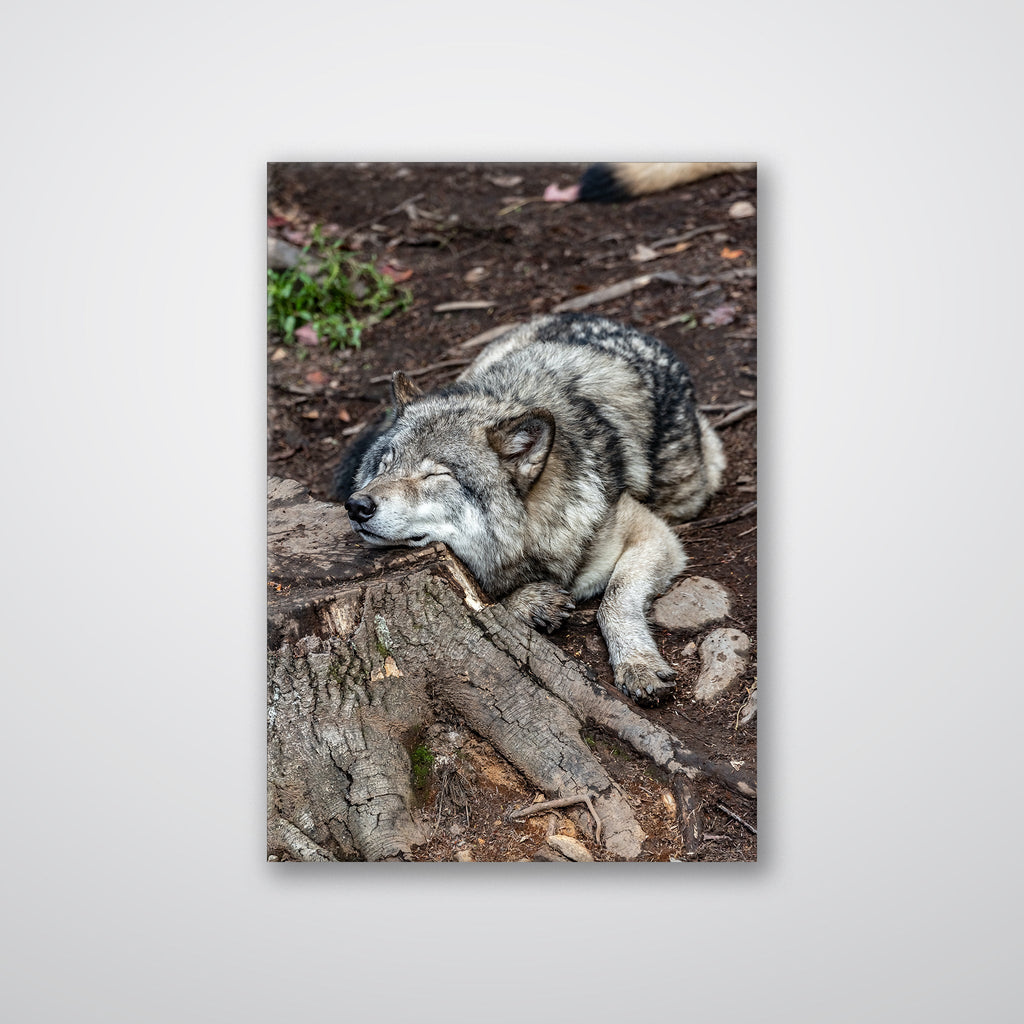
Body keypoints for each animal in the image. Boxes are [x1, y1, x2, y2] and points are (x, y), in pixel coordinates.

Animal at [335, 314, 726, 705]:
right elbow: (486, 602)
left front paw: (638, 663)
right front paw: (530, 602)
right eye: (385, 465)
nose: (357, 505)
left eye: (435, 475)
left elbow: (614, 599)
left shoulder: (653, 534)